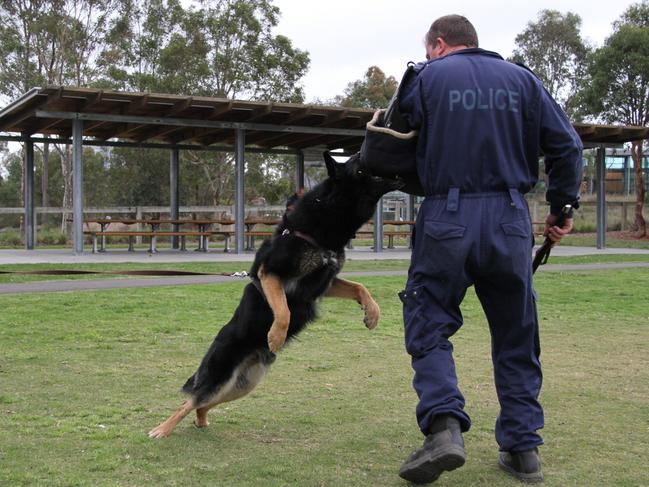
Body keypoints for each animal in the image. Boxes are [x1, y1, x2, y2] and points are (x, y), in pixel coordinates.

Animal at [148, 152, 400, 438]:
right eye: (358, 165)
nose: (368, 153)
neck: (324, 221)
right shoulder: (270, 273)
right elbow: (283, 309)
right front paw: (276, 336)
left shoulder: (326, 282)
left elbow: (360, 287)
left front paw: (372, 314)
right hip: (220, 376)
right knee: (189, 401)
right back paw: (162, 429)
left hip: (242, 385)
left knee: (202, 404)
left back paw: (201, 421)